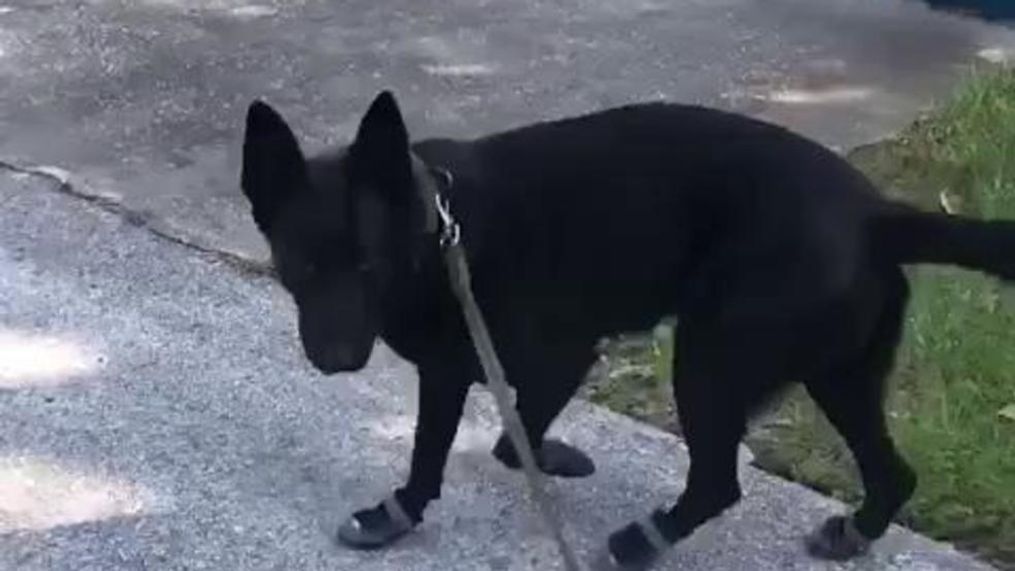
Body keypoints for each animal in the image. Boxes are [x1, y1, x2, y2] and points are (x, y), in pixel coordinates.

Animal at [241, 91, 1015, 567]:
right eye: (300, 266)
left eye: (367, 265)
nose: (338, 358)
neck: (434, 228)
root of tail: (874, 212)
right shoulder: (482, 367)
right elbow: (473, 444)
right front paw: (426, 502)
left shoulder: (548, 358)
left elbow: (480, 444)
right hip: (840, 373)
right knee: (894, 471)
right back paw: (854, 531)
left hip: (710, 361)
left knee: (718, 483)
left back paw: (644, 539)